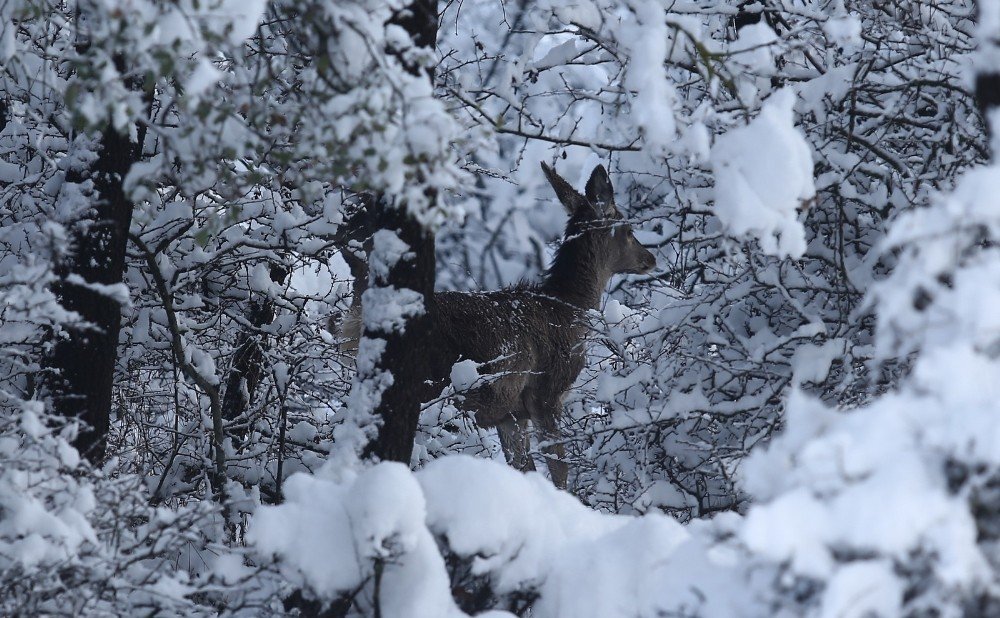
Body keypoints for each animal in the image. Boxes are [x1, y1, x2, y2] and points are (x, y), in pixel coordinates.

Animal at [334, 164, 656, 486]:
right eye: (628, 230)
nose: (650, 259)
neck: (567, 307)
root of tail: (357, 319)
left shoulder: (512, 413)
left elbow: (524, 468)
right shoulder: (547, 392)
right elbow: (559, 469)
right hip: (431, 383)